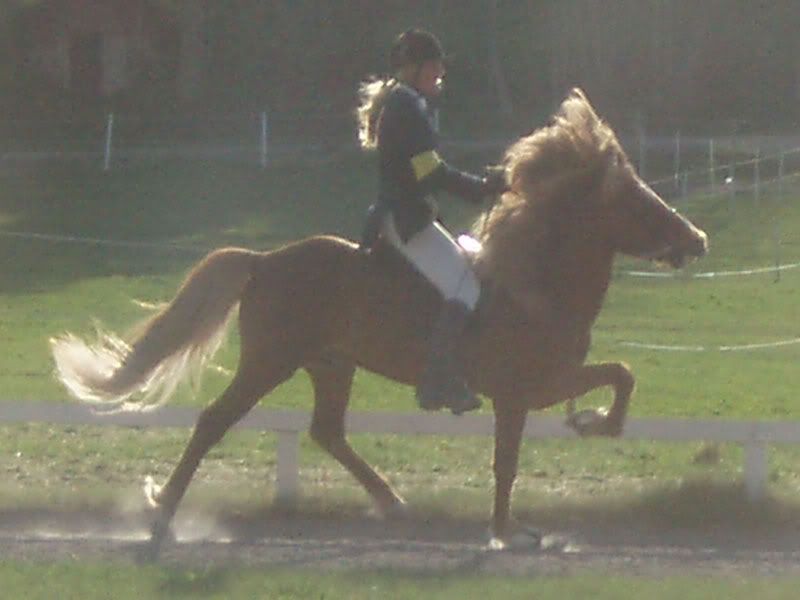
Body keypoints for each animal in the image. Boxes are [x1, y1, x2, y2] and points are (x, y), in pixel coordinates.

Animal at [51, 89, 708, 555]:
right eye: (636, 201)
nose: (696, 240)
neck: (534, 284)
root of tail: (264, 260)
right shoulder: (525, 391)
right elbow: (514, 457)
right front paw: (511, 528)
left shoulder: (541, 386)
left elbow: (618, 376)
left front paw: (590, 426)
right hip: (270, 361)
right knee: (215, 421)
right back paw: (161, 517)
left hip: (330, 364)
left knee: (327, 432)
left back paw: (392, 502)